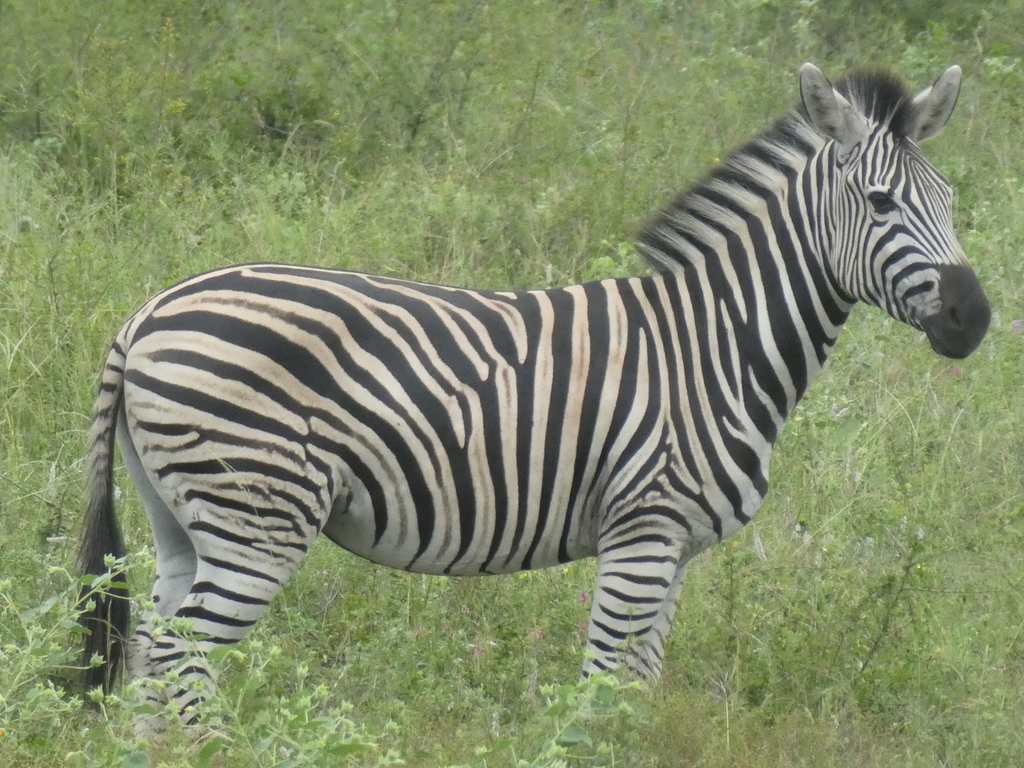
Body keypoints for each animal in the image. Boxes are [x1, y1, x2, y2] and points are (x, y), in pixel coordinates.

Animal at [77, 63, 989, 732]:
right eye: (881, 202)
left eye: (950, 200)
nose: (974, 318)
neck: (717, 345)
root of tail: (146, 313)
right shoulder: (642, 534)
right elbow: (598, 694)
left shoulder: (675, 550)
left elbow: (637, 698)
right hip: (259, 515)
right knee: (186, 658)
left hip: (185, 515)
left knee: (152, 653)